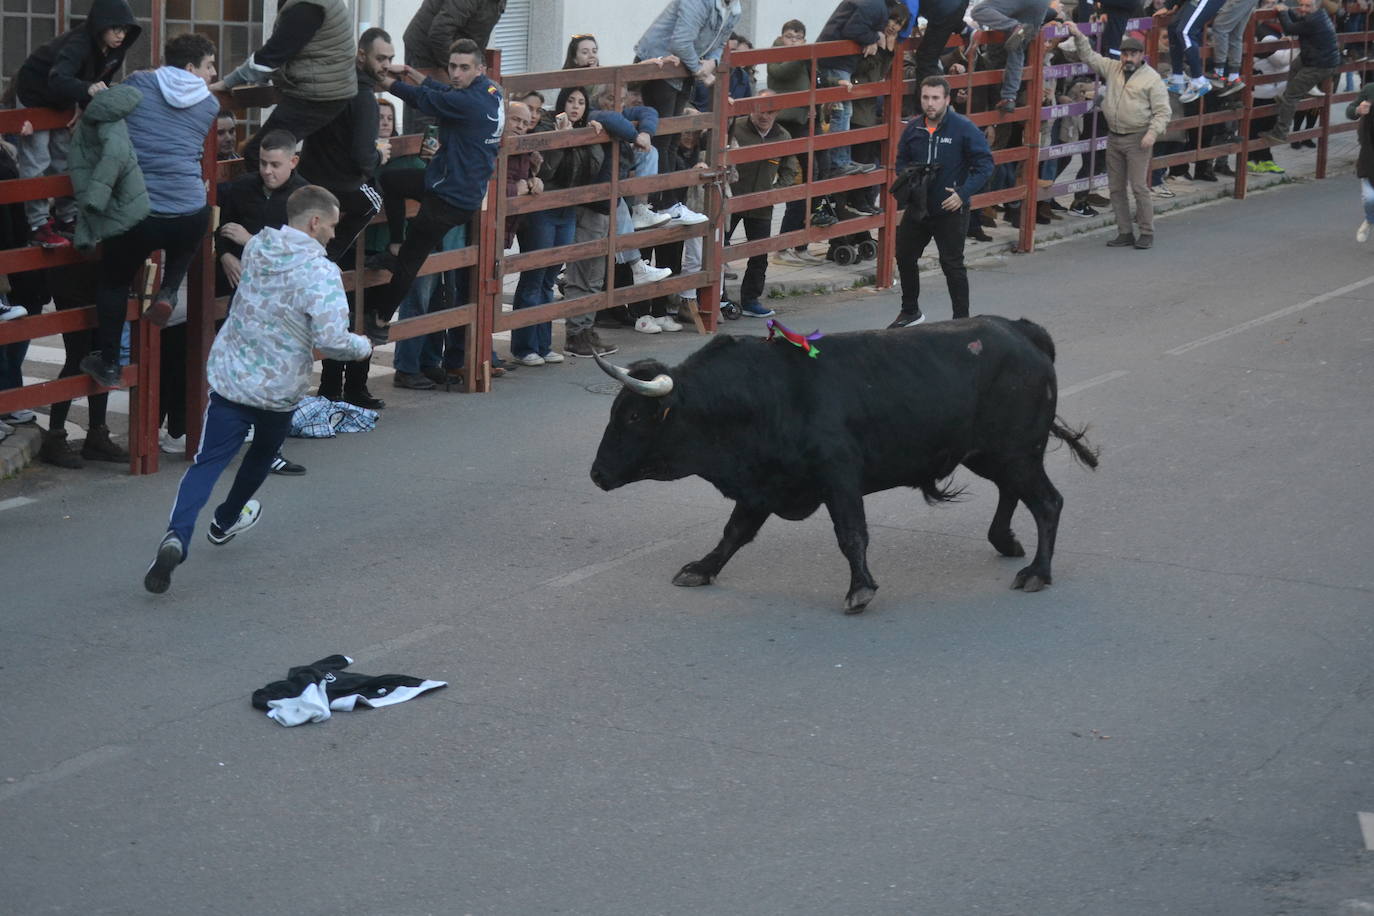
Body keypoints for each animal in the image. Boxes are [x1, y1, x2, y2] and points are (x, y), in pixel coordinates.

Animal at [585, 317, 1099, 615]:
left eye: (633, 417)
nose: (596, 474)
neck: (760, 396)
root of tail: (1023, 331)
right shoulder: (762, 486)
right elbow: (734, 533)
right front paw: (701, 568)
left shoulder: (839, 477)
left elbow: (851, 533)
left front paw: (860, 589)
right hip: (995, 454)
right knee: (1016, 492)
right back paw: (1006, 542)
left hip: (1015, 450)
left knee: (1048, 502)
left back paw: (1037, 572)